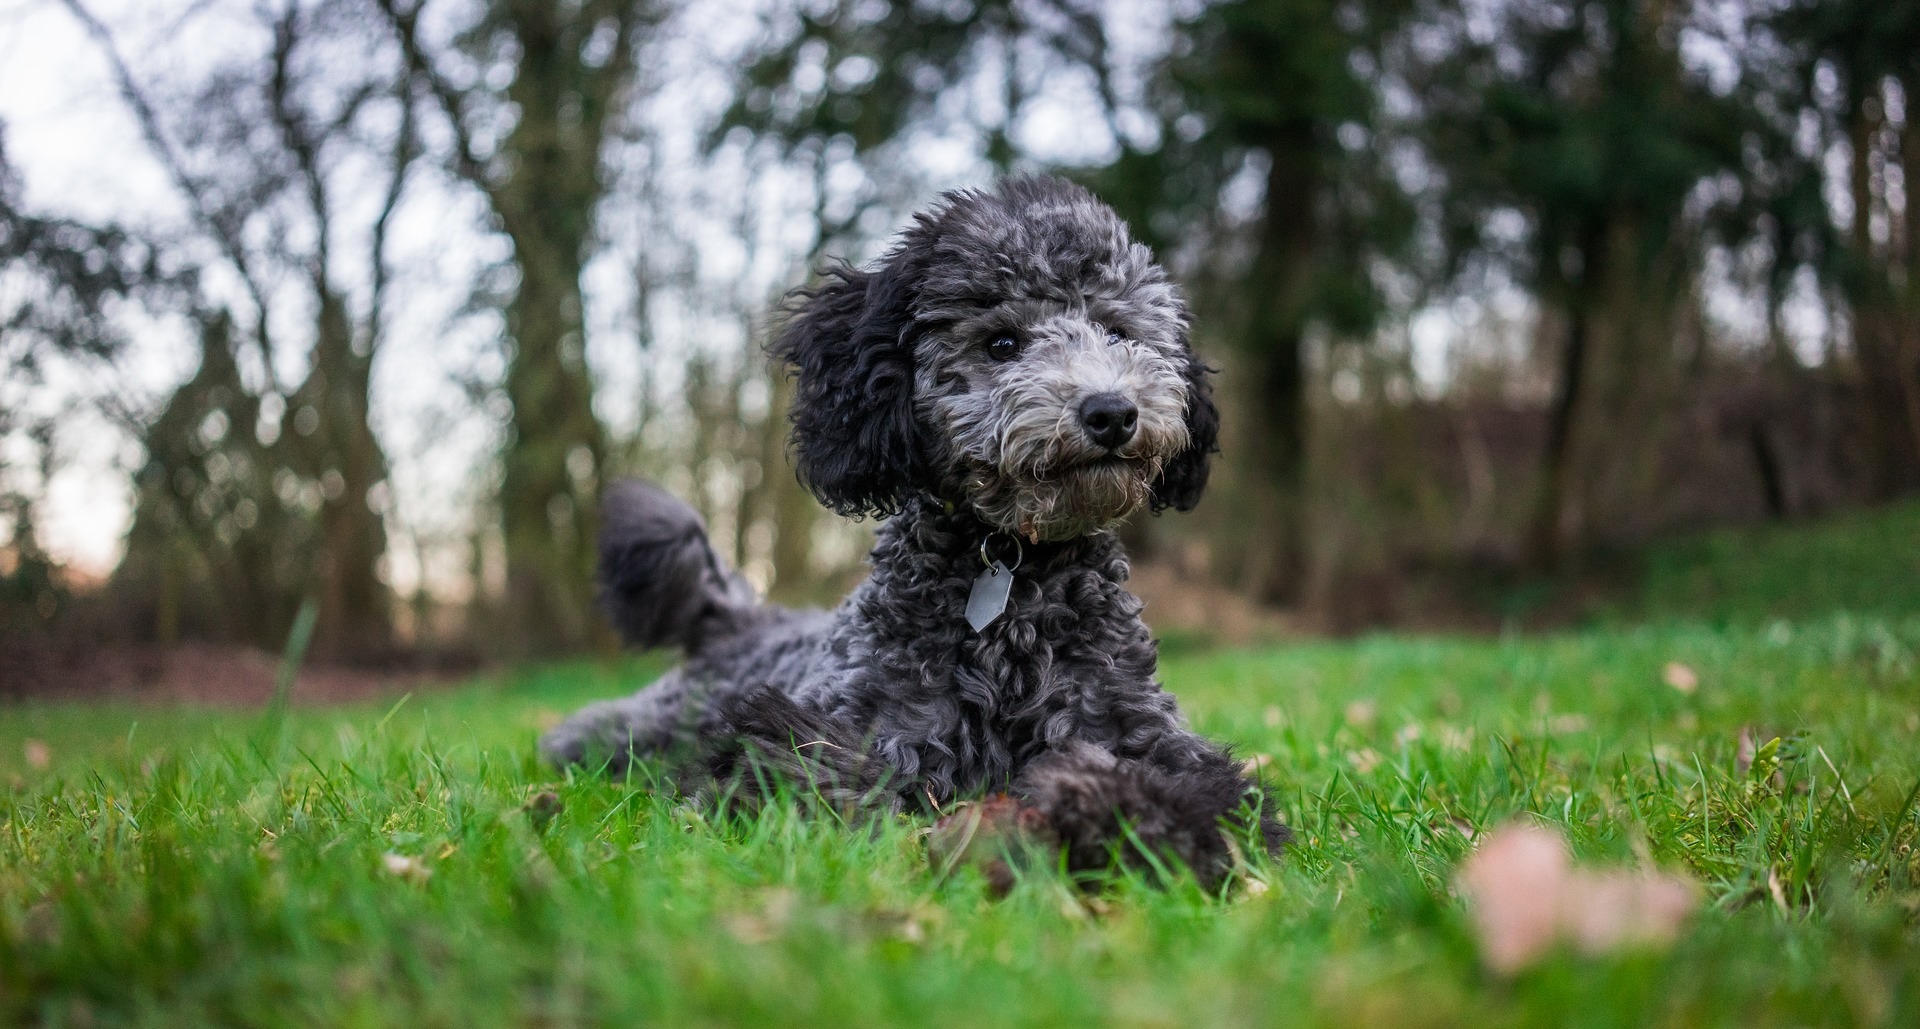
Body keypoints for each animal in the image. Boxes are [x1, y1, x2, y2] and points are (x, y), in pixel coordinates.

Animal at [541, 174, 1290, 883]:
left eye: (1119, 331)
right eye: (1002, 342)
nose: (1111, 412)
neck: (1014, 588)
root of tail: (738, 619)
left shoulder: (1133, 725)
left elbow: (1204, 793)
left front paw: (1121, 819)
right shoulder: (858, 725)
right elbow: (833, 776)